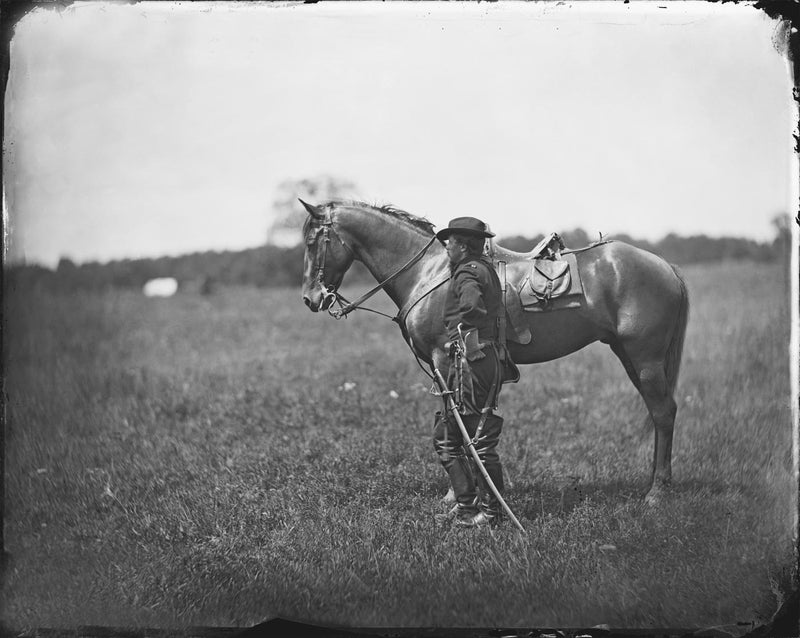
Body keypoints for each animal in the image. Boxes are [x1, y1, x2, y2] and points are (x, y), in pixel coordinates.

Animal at [300, 200, 688, 504]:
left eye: (312, 241)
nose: (310, 298)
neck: (430, 273)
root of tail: (666, 267)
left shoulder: (445, 359)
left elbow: (456, 425)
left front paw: (458, 495)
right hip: (629, 356)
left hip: (646, 358)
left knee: (664, 413)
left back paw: (657, 493)